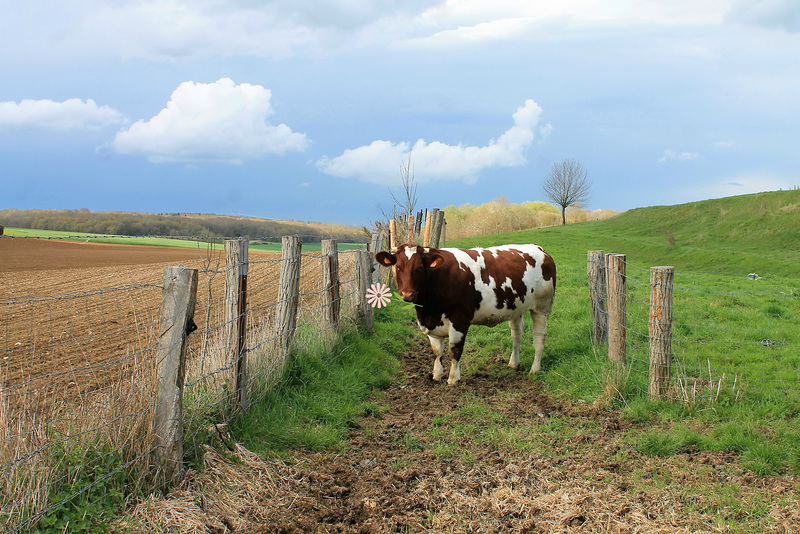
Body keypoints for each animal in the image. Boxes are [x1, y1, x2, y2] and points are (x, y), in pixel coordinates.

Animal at [376, 245, 556, 388]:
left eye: (420, 267)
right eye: (398, 267)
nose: (407, 294)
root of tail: (540, 249)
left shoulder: (459, 320)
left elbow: (454, 350)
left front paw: (453, 379)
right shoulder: (431, 323)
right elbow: (437, 351)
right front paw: (436, 375)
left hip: (542, 306)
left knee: (539, 338)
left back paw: (535, 369)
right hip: (515, 308)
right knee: (516, 335)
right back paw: (513, 363)